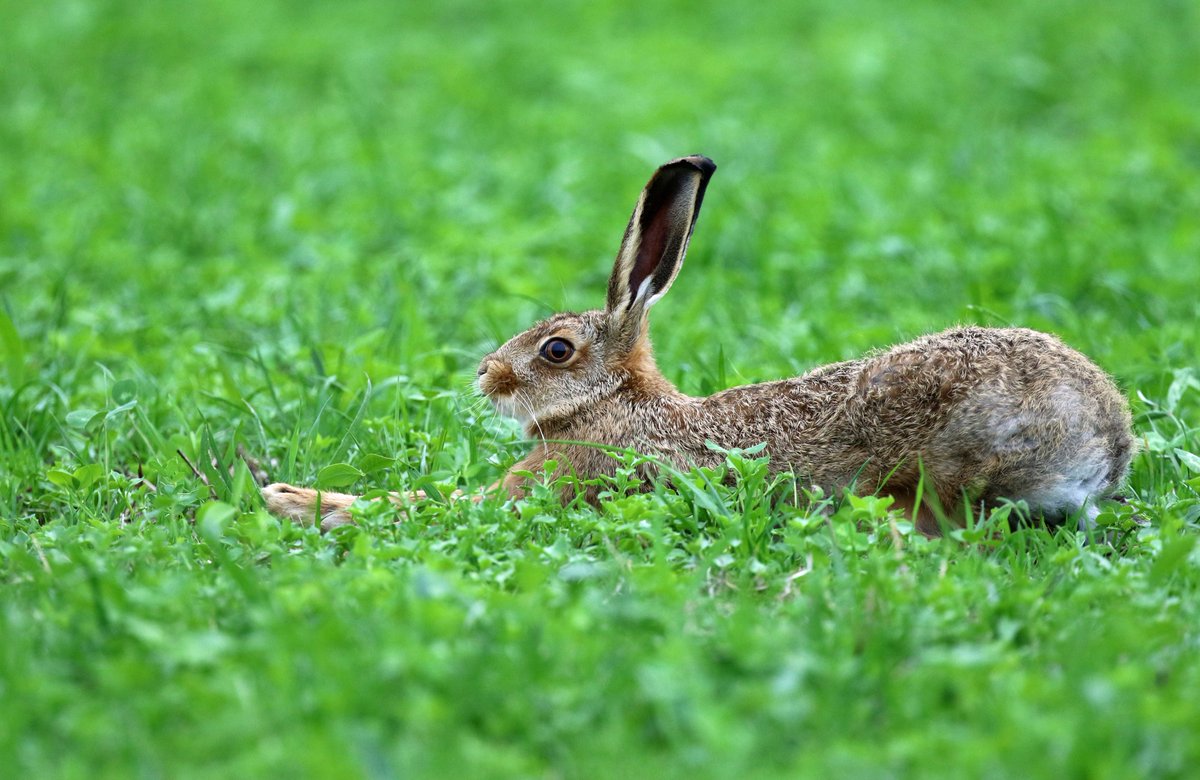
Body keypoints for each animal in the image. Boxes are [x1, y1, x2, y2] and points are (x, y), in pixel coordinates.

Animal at [264, 155, 1135, 536]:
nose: (486, 376)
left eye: (556, 351)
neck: (615, 406)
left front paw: (292, 499)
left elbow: (432, 505)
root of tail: (1104, 439)